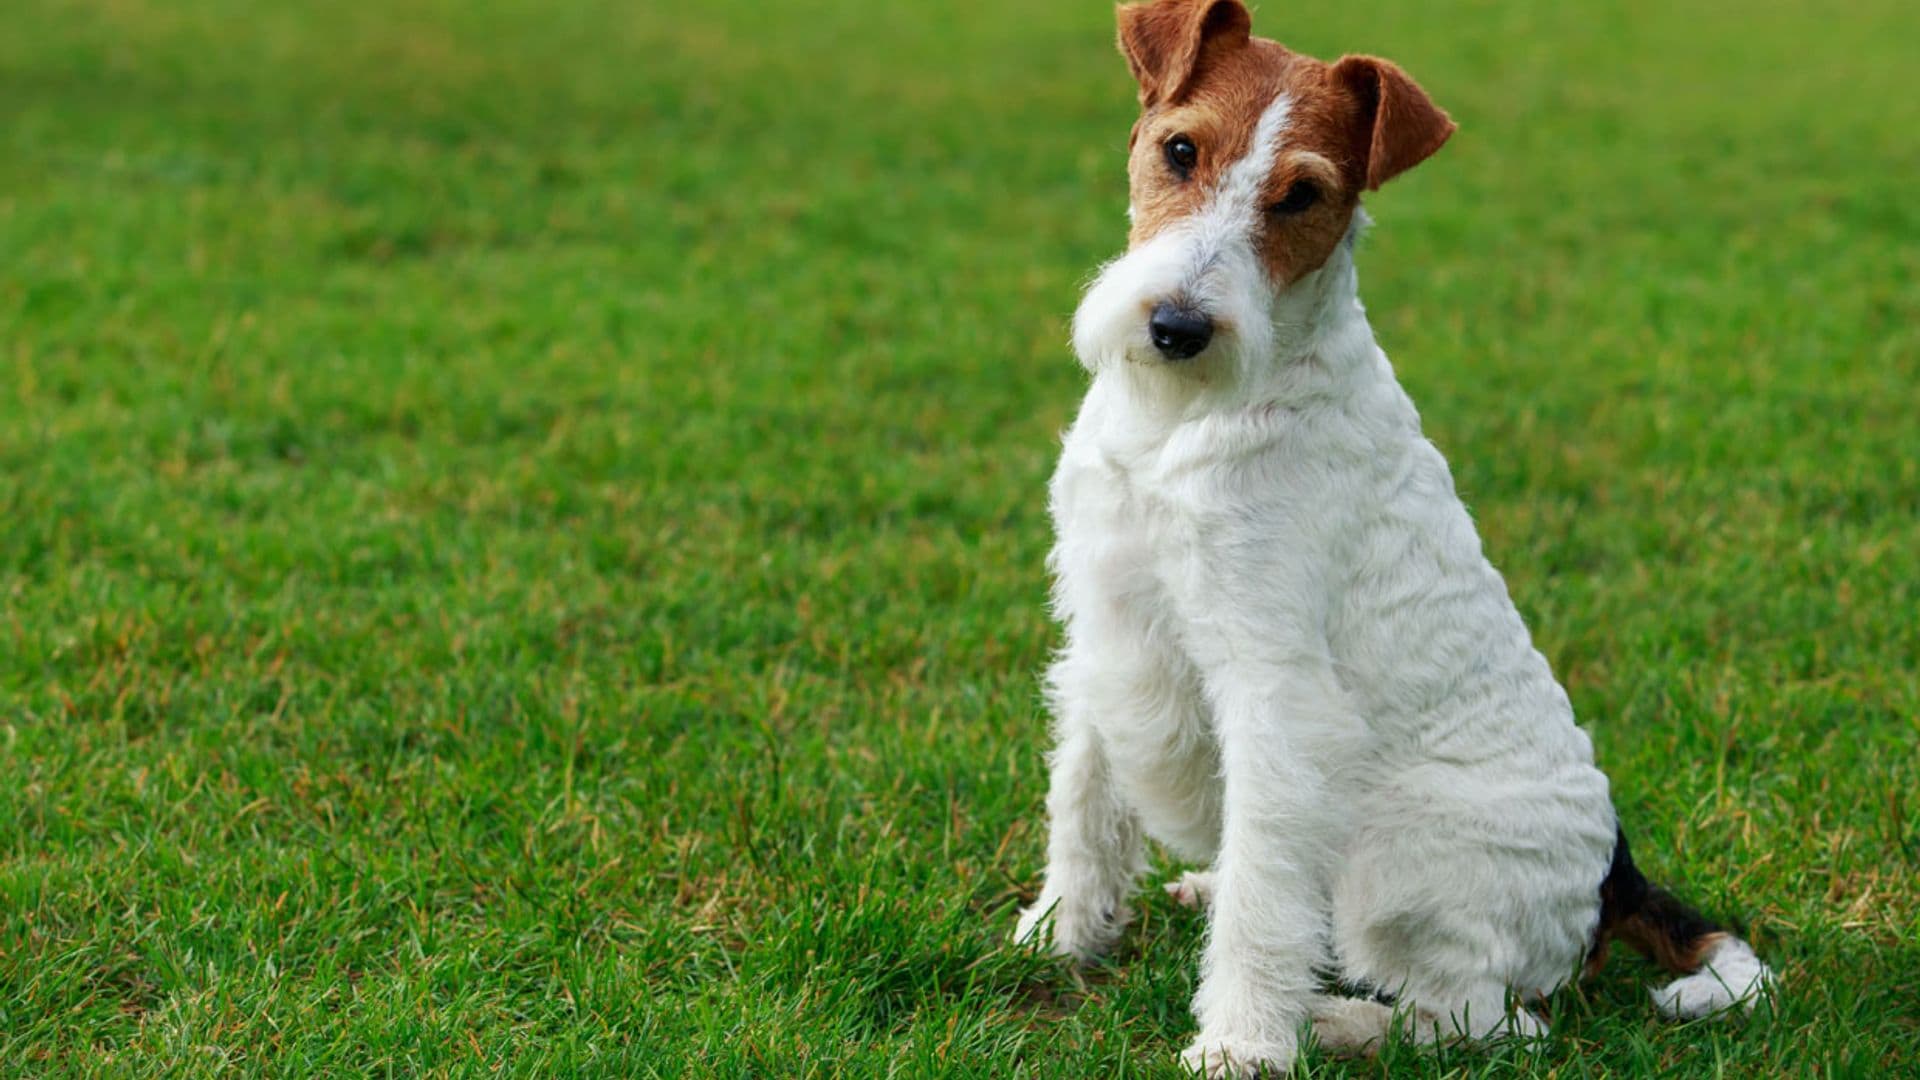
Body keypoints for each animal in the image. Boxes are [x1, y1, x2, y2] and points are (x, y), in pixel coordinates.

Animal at [1013, 4, 1774, 1068]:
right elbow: (1083, 805)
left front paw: (1239, 1047)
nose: (1177, 327)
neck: (1179, 418)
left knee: (1482, 1020)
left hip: (1398, 863)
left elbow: (1263, 903)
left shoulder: (1274, 688)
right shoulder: (1102, 614)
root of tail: (1613, 878)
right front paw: (1058, 935)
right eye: (1180, 149)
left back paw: (1327, 1020)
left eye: (1302, 194)